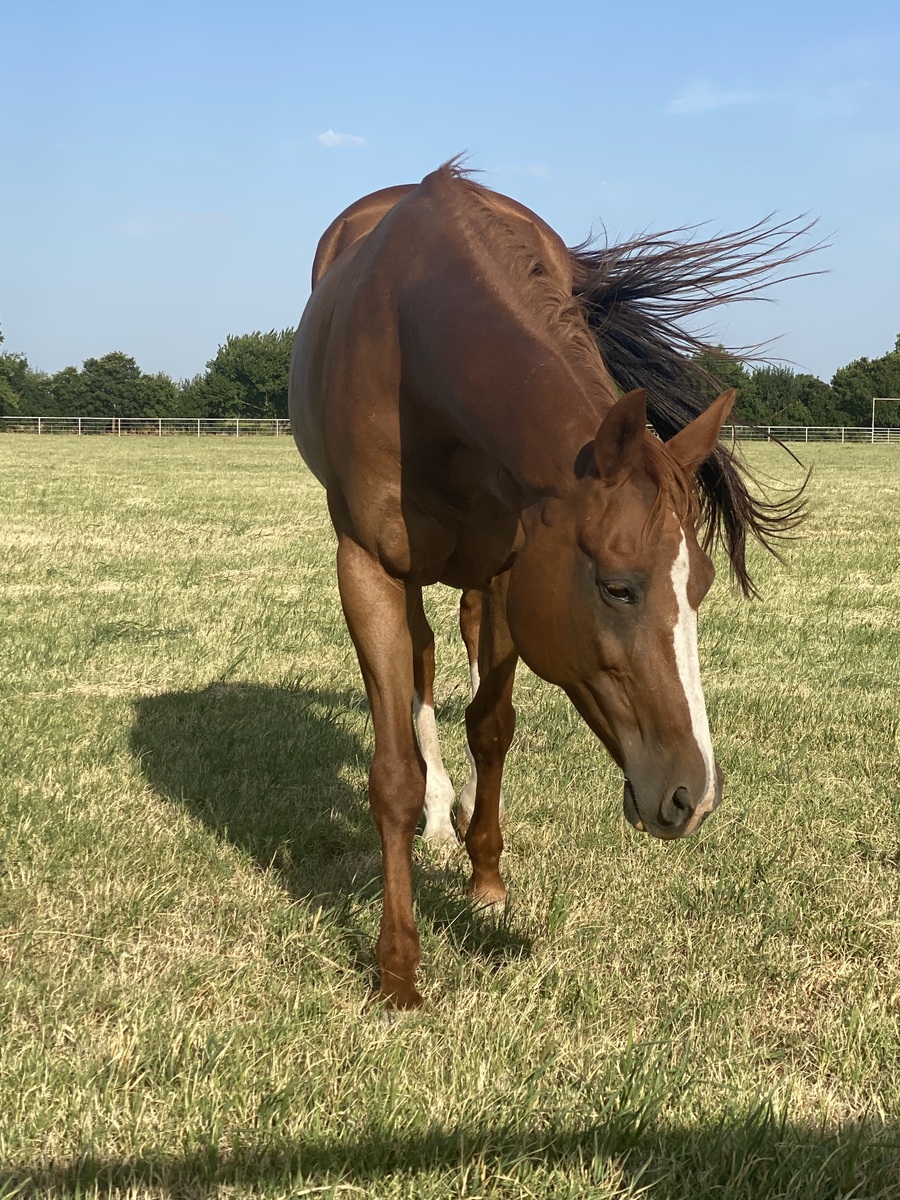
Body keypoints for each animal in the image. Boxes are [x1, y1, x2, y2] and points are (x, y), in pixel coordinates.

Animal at [289, 163, 807, 1008]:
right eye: (620, 588)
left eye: (699, 585)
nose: (693, 797)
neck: (417, 344)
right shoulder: (366, 567)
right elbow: (393, 772)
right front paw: (398, 971)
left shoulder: (510, 568)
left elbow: (492, 727)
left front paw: (487, 883)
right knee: (422, 666)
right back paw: (440, 812)